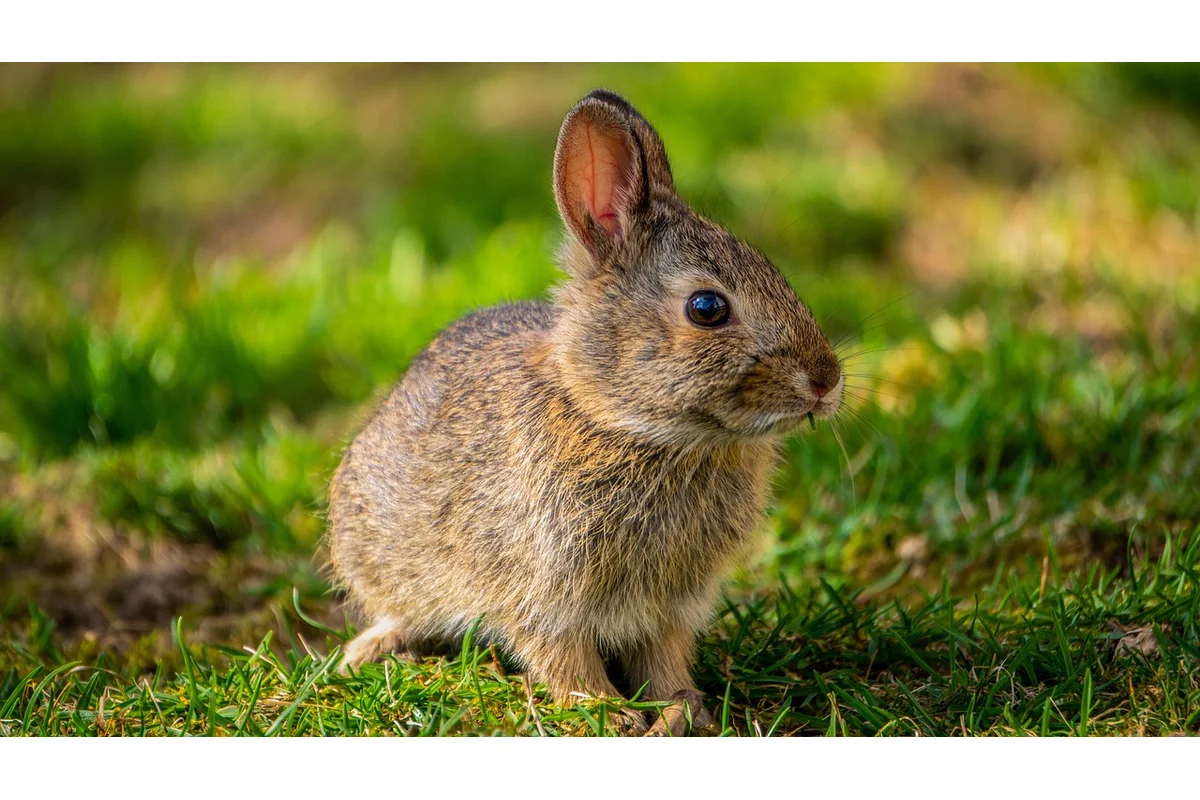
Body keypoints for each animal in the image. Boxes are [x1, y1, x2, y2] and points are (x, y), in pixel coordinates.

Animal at [327, 88, 844, 736]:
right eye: (707, 308)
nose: (827, 380)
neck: (626, 426)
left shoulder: (667, 606)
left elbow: (664, 657)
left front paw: (683, 709)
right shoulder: (540, 592)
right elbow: (561, 656)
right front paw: (606, 712)